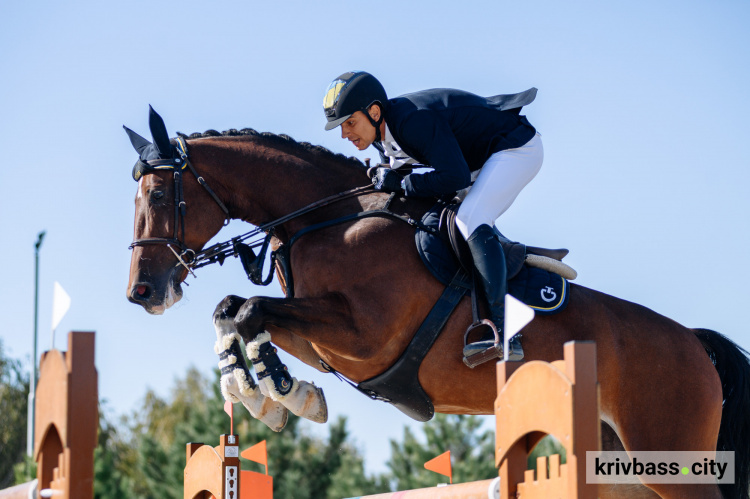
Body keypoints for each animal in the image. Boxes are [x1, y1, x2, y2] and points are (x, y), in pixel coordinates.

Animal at [126, 107, 748, 498]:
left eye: (157, 195)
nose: (142, 293)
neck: (325, 220)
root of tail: (695, 344)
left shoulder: (363, 336)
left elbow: (249, 309)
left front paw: (275, 393)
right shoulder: (321, 339)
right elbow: (235, 311)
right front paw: (270, 393)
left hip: (668, 460)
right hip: (624, 469)